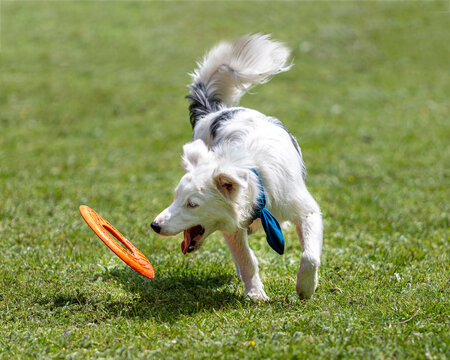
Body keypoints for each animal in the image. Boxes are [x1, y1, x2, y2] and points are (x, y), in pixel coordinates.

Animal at [153, 33, 322, 300]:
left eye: (193, 204)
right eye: (175, 197)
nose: (155, 225)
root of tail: (214, 111)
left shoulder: (307, 210)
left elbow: (310, 256)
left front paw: (305, 288)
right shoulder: (233, 226)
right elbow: (246, 259)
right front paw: (256, 293)